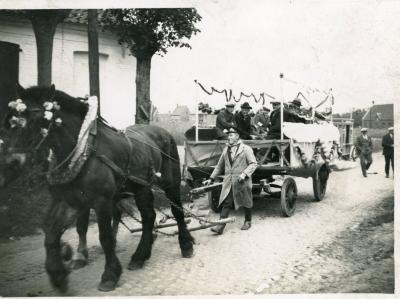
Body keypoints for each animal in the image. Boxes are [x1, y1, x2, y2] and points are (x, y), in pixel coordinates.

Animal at [2, 84, 194, 292]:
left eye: (38, 119)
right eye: (11, 121)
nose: (11, 162)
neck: (84, 150)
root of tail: (163, 131)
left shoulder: (101, 201)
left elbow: (105, 237)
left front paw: (110, 274)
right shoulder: (69, 200)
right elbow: (52, 234)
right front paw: (58, 274)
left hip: (170, 182)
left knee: (177, 211)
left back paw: (185, 245)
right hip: (141, 187)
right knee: (149, 216)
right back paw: (140, 255)